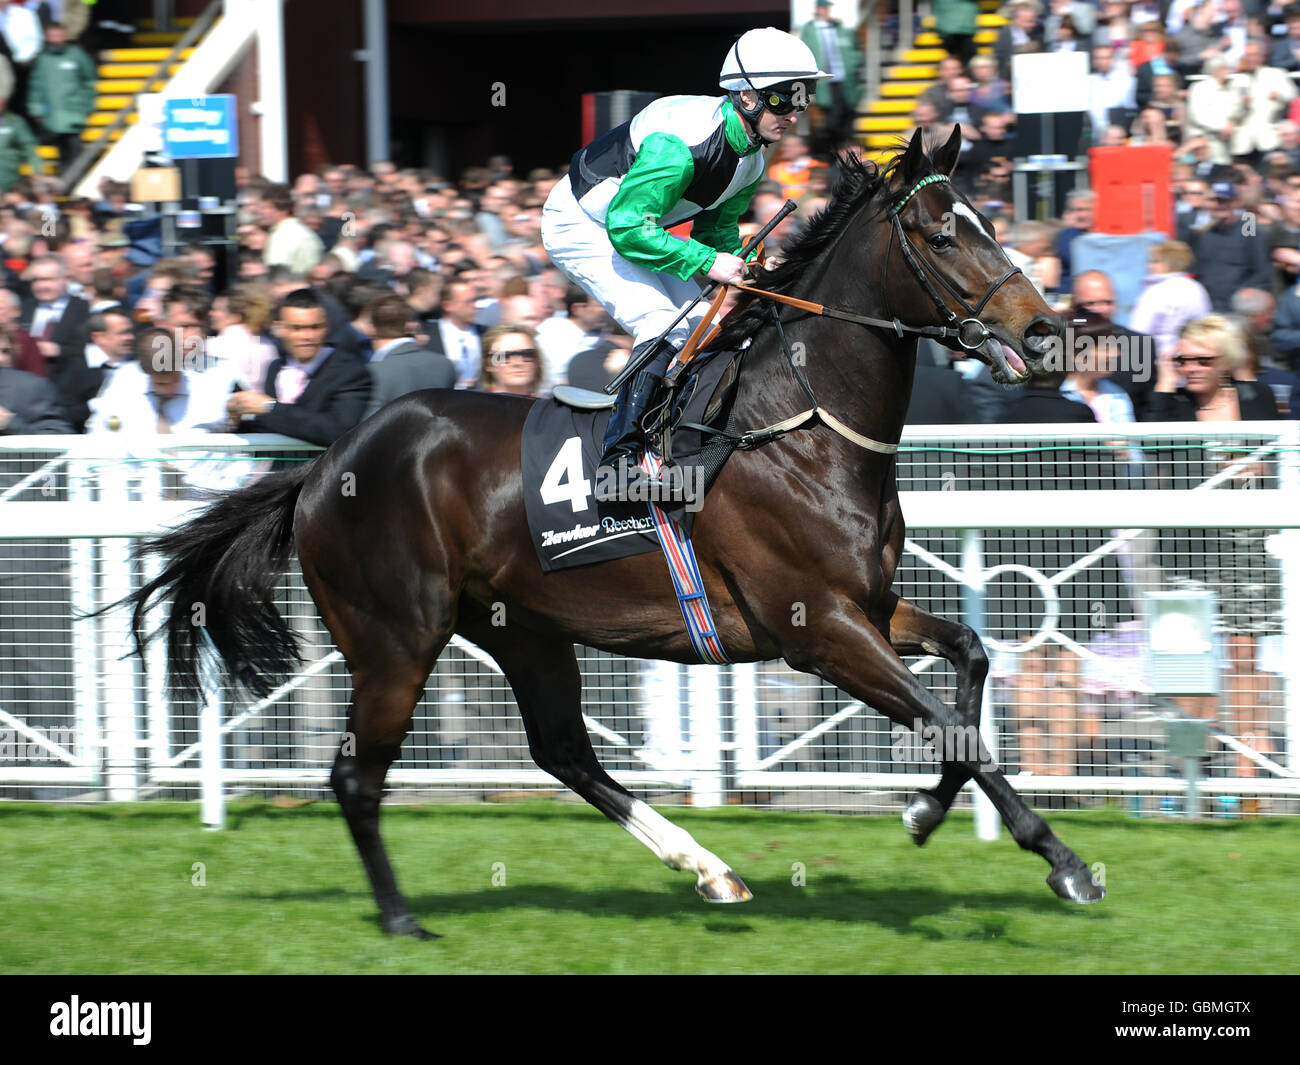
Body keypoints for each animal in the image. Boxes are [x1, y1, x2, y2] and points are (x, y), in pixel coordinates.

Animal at [124, 129, 1107, 936]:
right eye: (943, 233)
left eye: (987, 220)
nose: (1044, 330)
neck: (796, 423)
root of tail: (327, 464)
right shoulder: (818, 628)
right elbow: (949, 721)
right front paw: (1063, 862)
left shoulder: (867, 604)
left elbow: (970, 661)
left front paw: (926, 810)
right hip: (396, 637)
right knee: (358, 775)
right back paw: (403, 919)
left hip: (521, 628)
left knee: (563, 750)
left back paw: (710, 870)